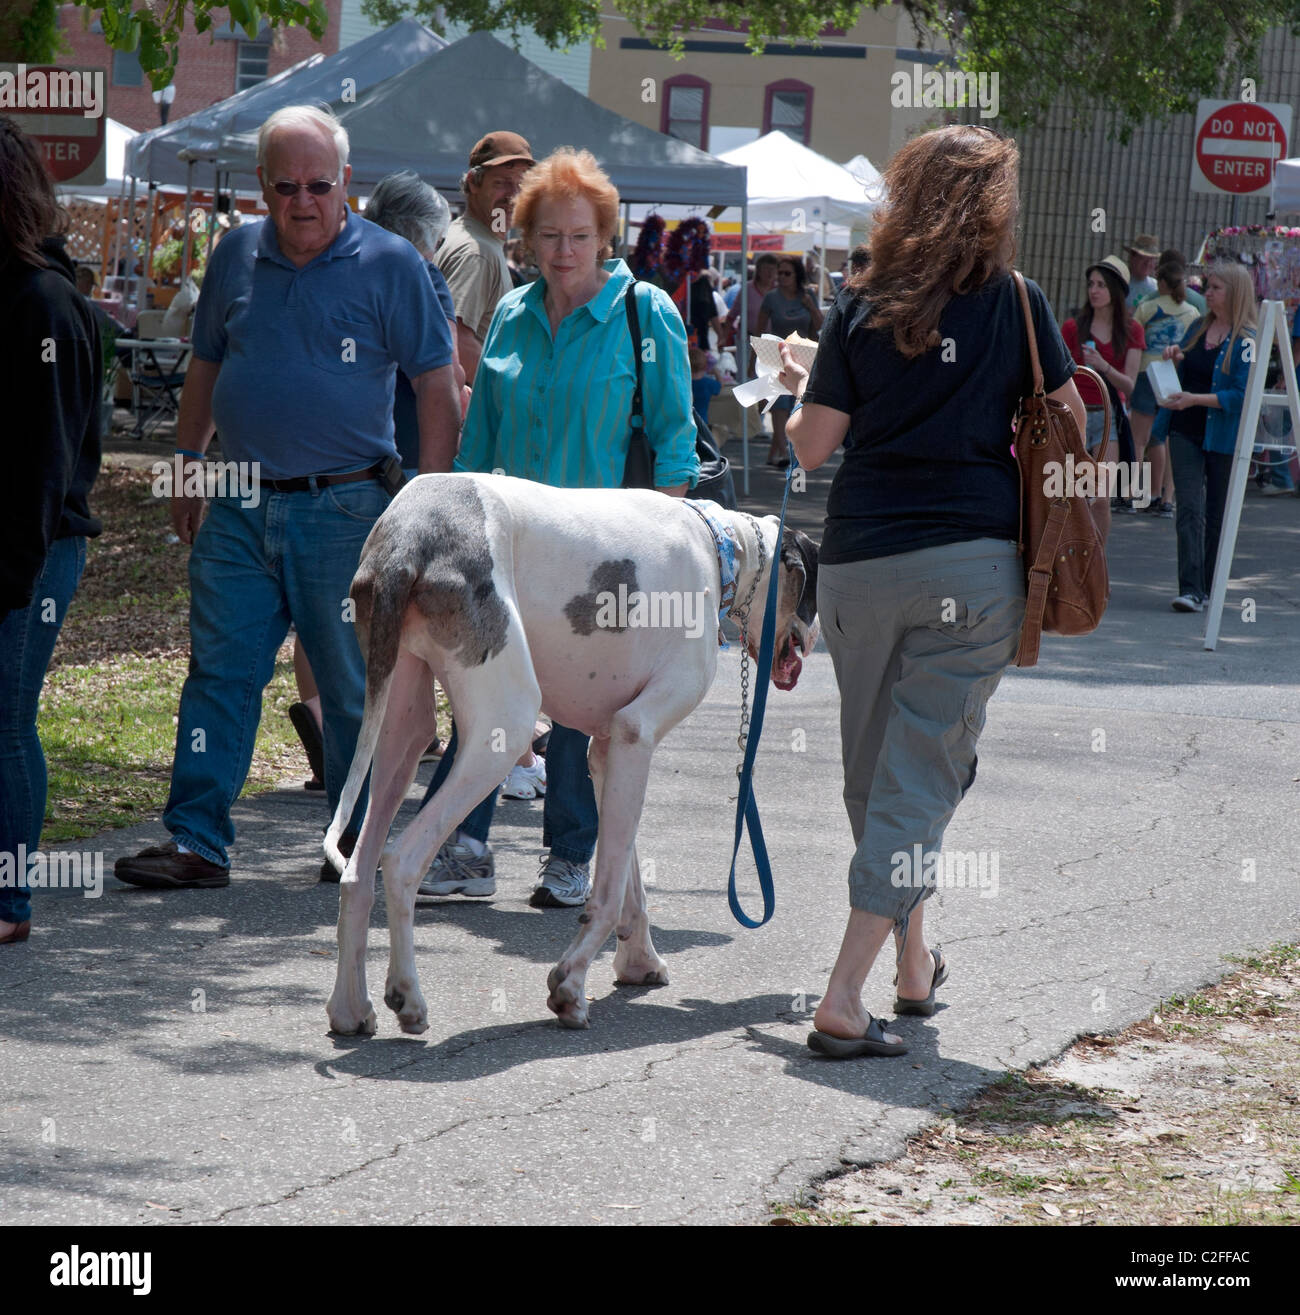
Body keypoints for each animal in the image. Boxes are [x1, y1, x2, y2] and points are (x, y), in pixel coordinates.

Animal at [322, 473, 809, 1036]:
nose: (815, 634)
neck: (720, 547)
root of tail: (410, 533)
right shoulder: (636, 735)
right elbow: (608, 892)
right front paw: (570, 987)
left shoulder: (612, 748)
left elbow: (629, 879)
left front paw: (639, 962)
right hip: (504, 730)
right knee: (399, 860)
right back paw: (407, 996)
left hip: (401, 728)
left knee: (359, 871)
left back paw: (349, 1008)